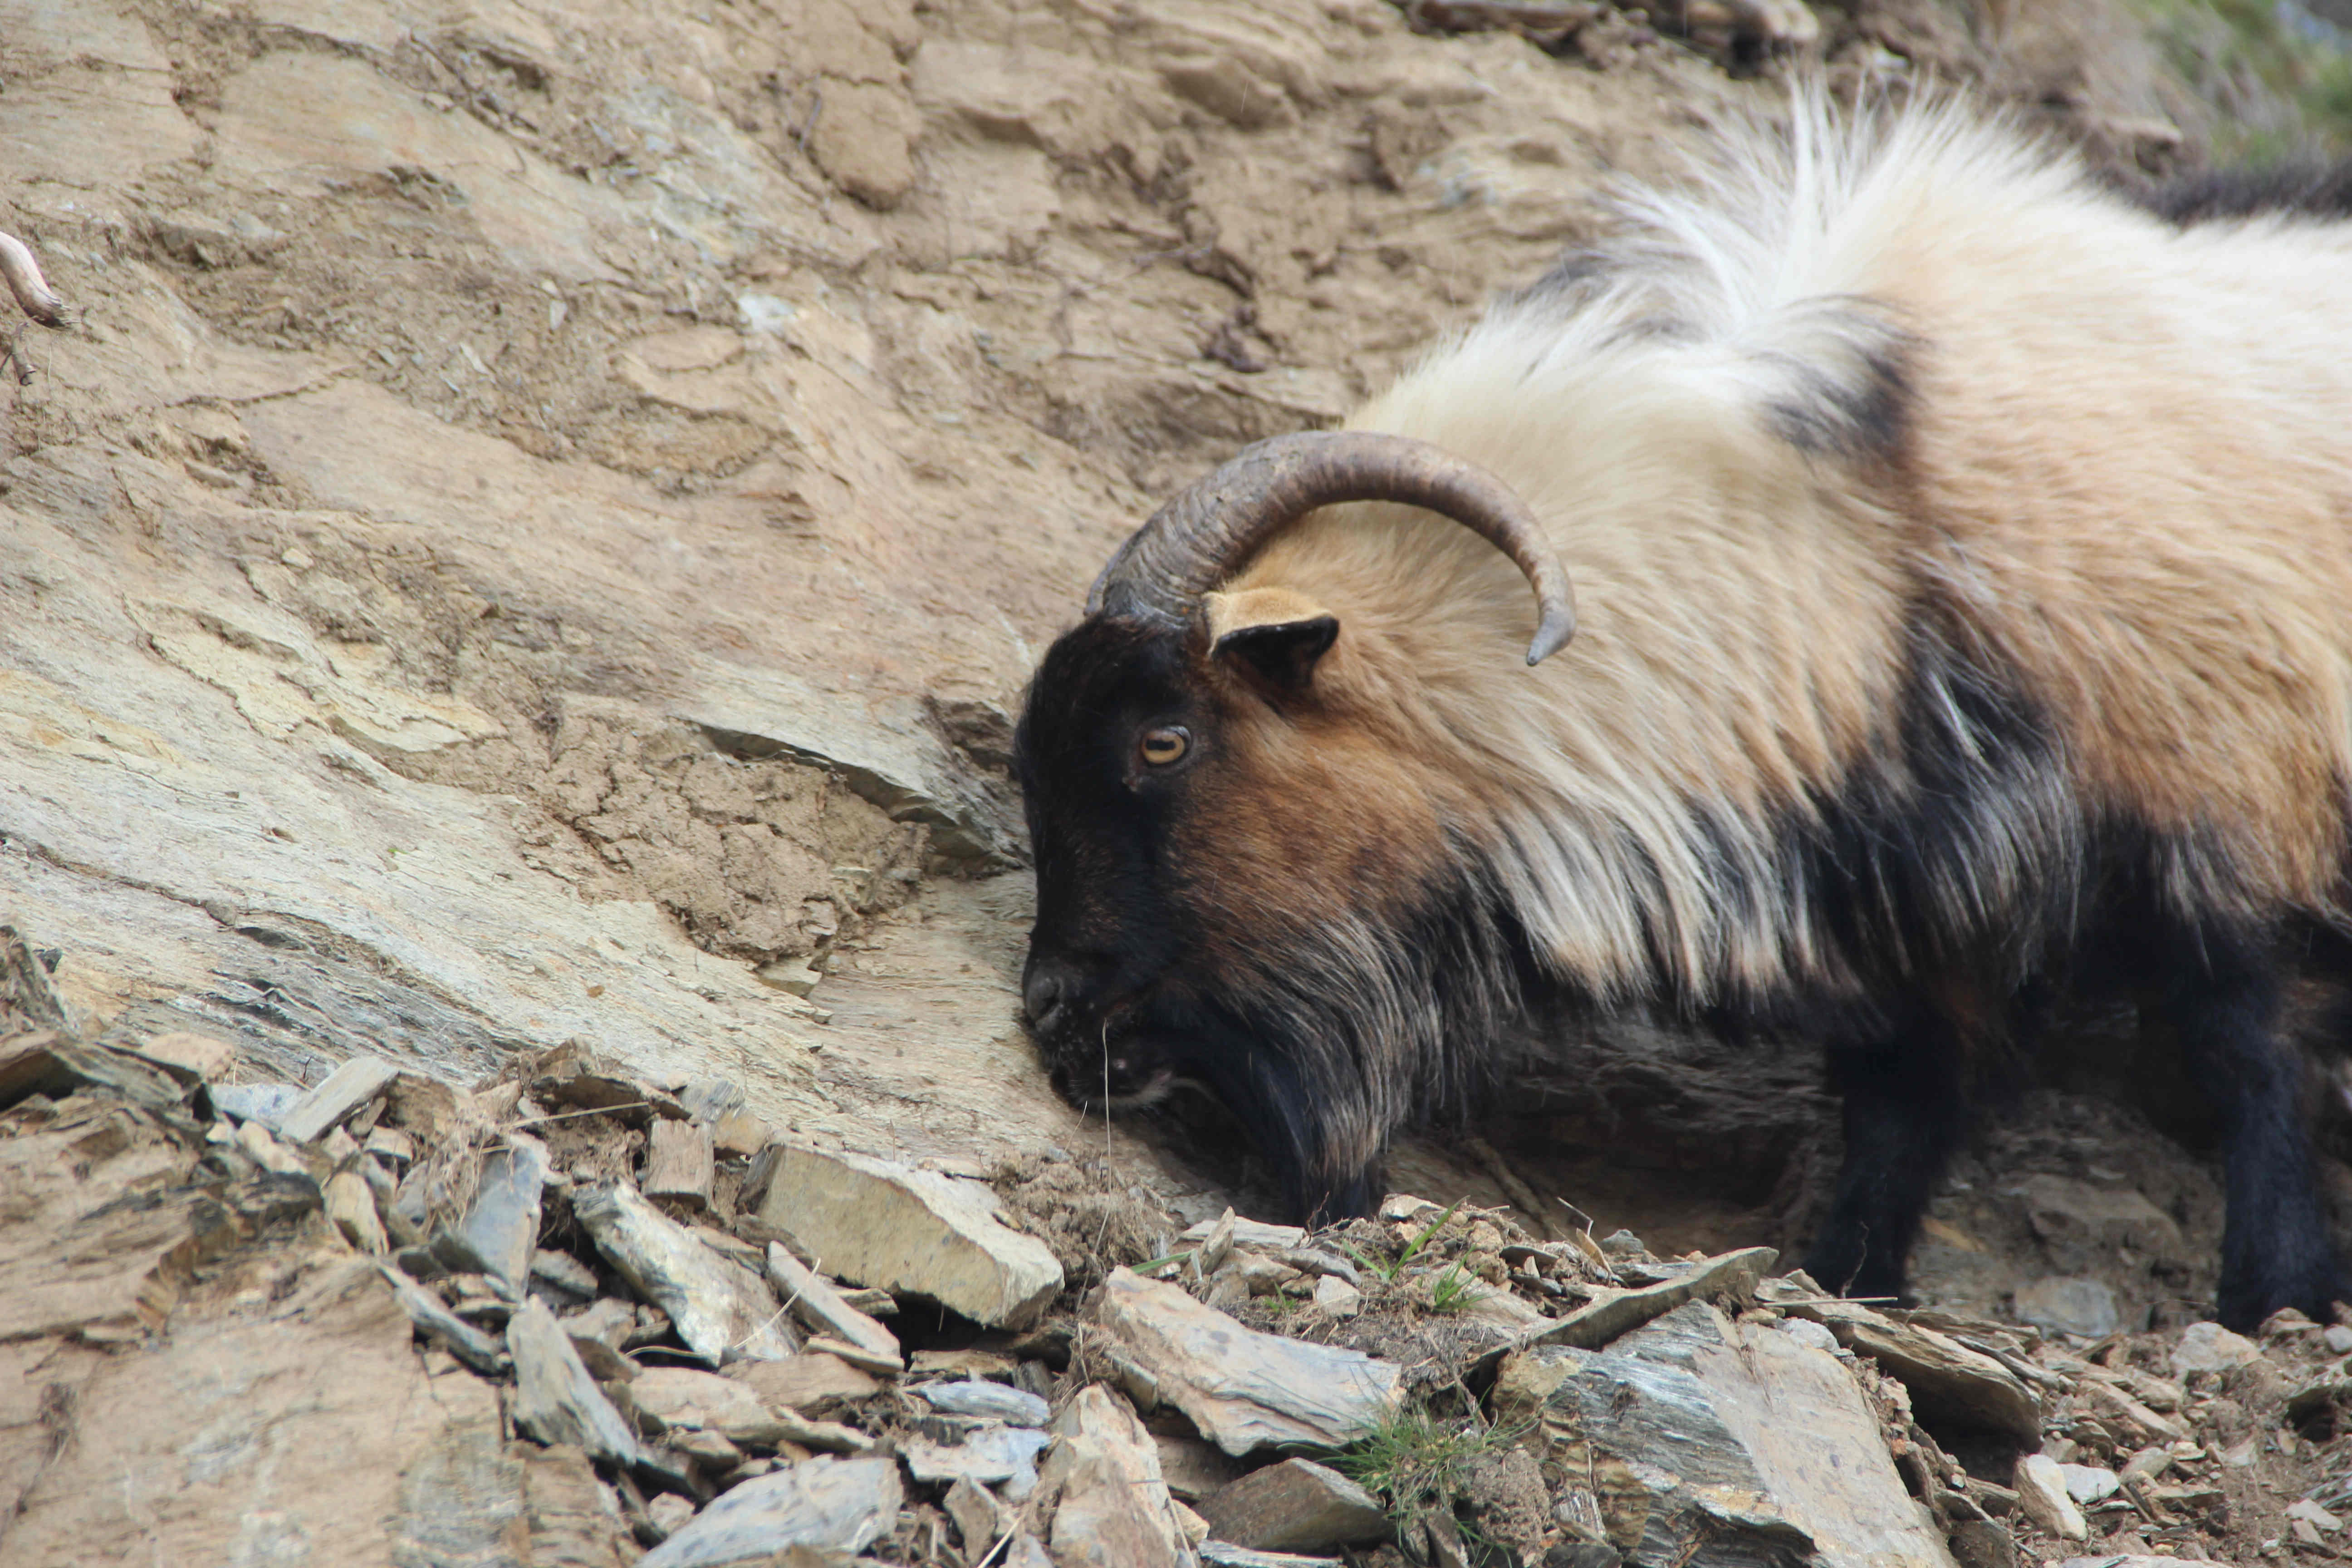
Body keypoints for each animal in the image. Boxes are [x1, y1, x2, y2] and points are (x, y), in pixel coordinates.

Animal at [1006, 95, 2352, 1326]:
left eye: (1164, 737)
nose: (1053, 1014)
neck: (1891, 537)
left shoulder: (2236, 805)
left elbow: (2252, 1051)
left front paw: (2275, 1296)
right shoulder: (1924, 921)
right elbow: (1902, 1105)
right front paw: (1849, 1278)